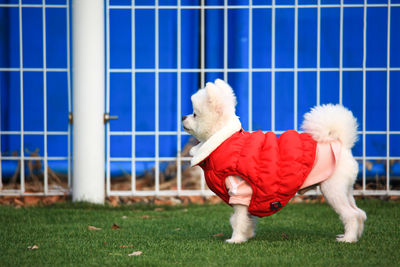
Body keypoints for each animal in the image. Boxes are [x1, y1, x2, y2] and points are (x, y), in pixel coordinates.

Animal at [183, 78, 368, 244]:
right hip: (345, 189)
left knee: (351, 214)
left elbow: (238, 219)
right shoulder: (251, 196)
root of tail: (341, 143)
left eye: (194, 114)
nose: (183, 116)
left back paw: (348, 239)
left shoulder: (240, 191)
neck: (225, 140)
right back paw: (354, 236)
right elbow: (247, 219)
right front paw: (247, 235)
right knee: (359, 213)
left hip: (332, 189)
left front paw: (236, 239)